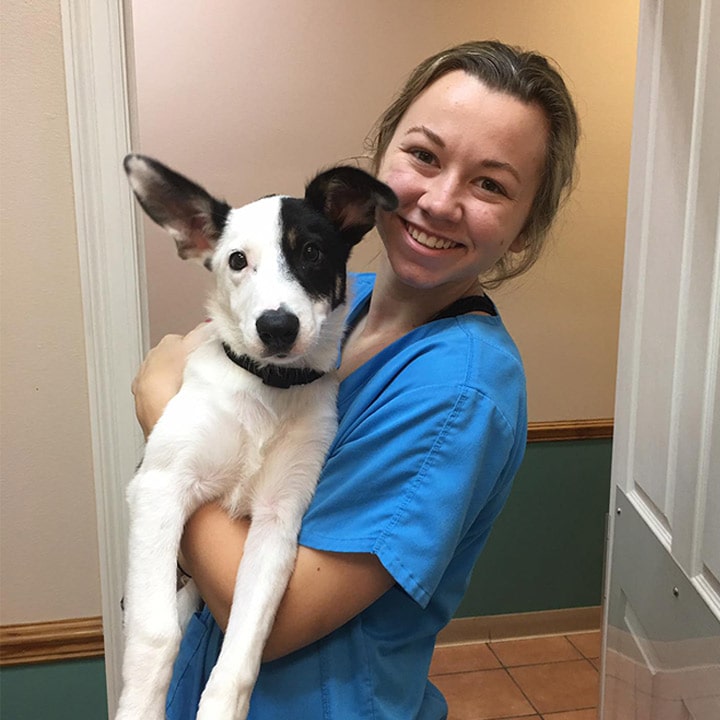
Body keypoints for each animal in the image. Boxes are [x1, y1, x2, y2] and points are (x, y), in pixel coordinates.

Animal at [119, 153, 400, 720]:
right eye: (236, 260)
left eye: (311, 251)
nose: (277, 327)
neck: (268, 390)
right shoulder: (159, 487)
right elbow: (156, 632)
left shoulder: (277, 522)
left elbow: (241, 654)